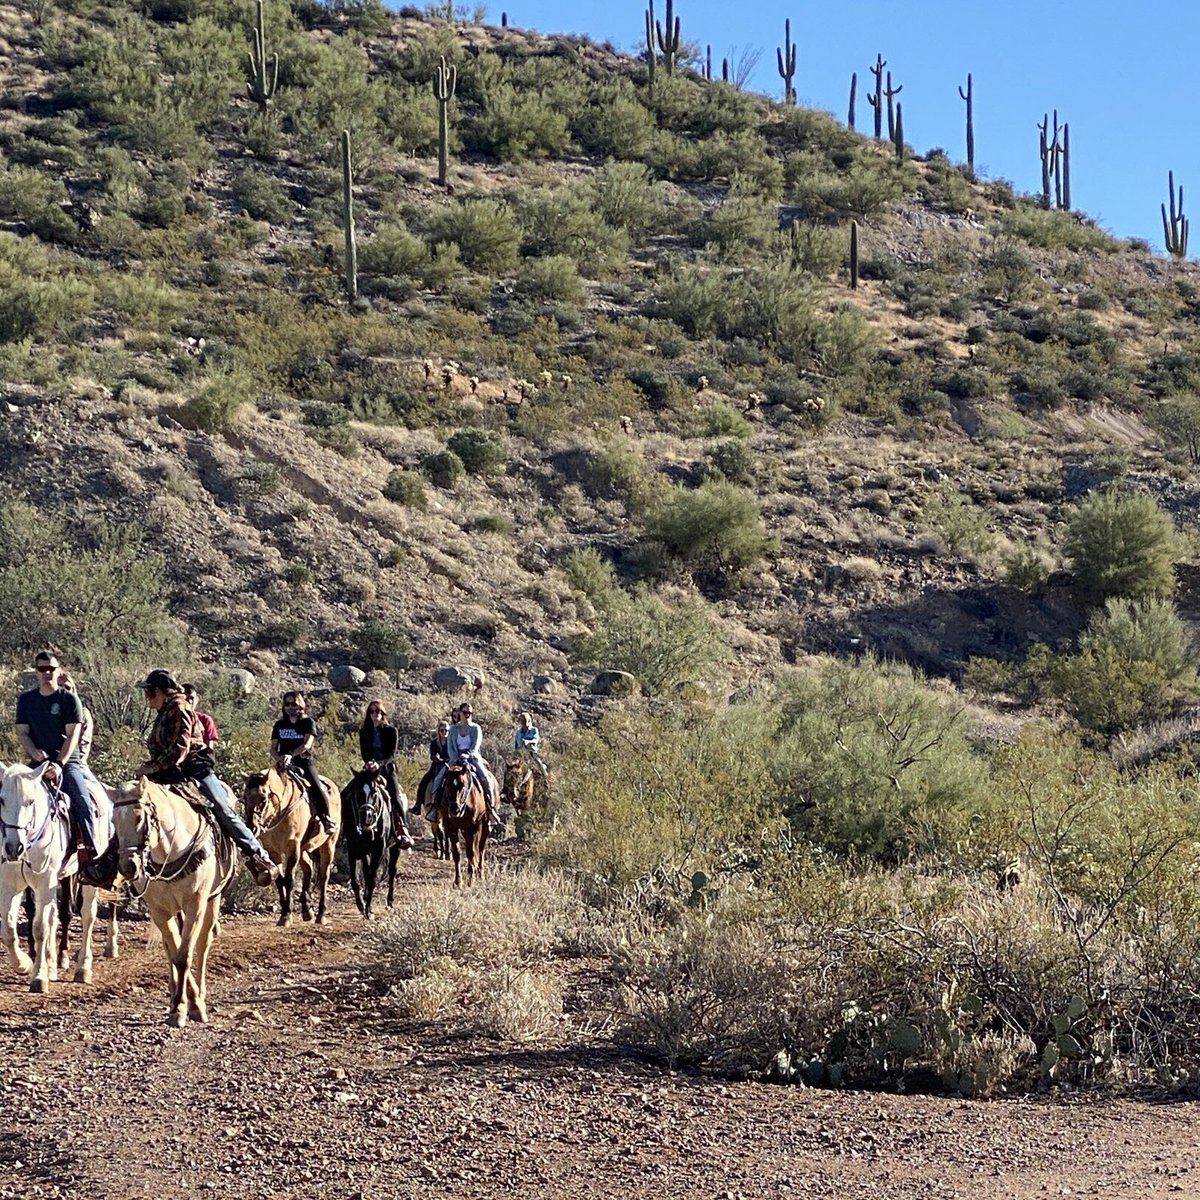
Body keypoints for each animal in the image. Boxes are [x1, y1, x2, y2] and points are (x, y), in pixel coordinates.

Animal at [0, 758, 114, 993]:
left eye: (31, 801)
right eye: (2, 800)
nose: (13, 848)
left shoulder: (45, 882)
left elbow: (40, 928)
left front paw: (39, 976)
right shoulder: (11, 885)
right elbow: (8, 929)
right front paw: (24, 964)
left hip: (86, 880)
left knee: (87, 916)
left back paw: (82, 969)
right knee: (55, 915)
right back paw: (53, 964)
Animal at [112, 782, 234, 1027]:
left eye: (139, 817)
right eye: (113, 821)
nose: (127, 867)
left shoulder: (195, 903)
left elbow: (184, 955)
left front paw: (193, 1006)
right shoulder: (159, 910)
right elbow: (174, 951)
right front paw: (179, 1006)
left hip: (212, 901)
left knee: (203, 944)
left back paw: (201, 993)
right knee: (171, 947)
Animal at [241, 768, 340, 926]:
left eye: (263, 799)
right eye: (244, 798)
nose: (252, 827)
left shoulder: (292, 847)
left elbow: (289, 879)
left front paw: (287, 915)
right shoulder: (272, 850)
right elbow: (279, 880)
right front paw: (284, 913)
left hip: (328, 844)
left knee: (324, 877)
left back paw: (321, 914)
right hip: (304, 848)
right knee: (309, 870)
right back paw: (307, 910)